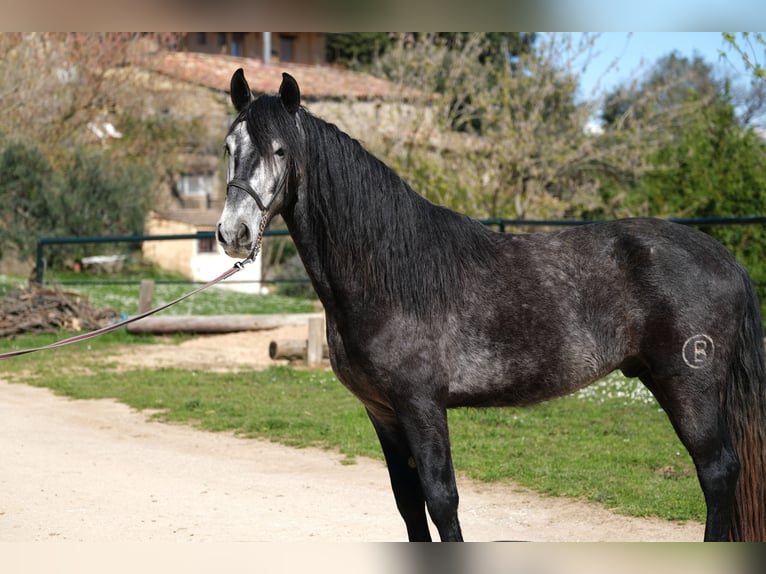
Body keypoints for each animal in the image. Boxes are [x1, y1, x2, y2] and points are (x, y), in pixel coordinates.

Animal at [216, 69, 766, 542]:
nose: (232, 232)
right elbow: (407, 504)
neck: (389, 275)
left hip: (688, 388)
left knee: (718, 473)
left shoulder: (422, 406)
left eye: (280, 150)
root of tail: (725, 257)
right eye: (228, 148)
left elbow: (442, 500)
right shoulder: (383, 412)